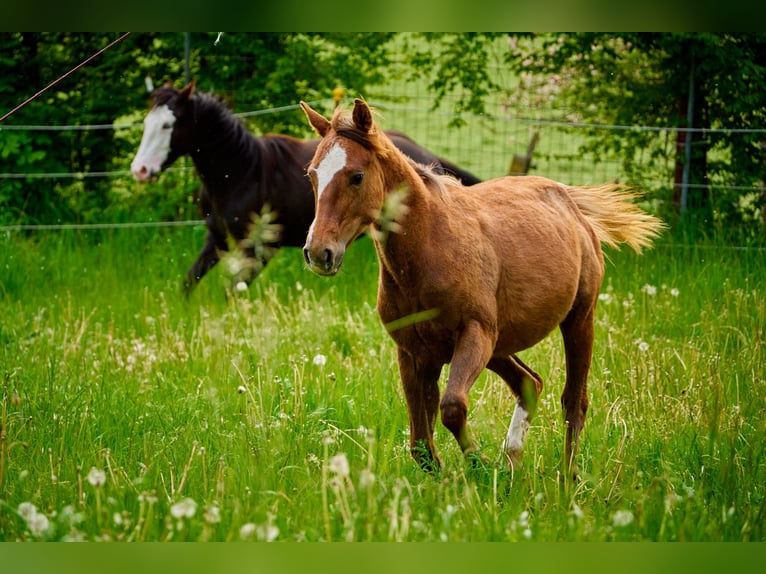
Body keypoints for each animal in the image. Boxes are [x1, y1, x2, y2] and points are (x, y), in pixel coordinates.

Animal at [131, 81, 480, 296]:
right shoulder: (216, 240)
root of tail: (428, 156)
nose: (140, 170)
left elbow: (233, 294)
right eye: (146, 122)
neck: (240, 171)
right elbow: (188, 284)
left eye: (167, 125)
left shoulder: (259, 248)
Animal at [300, 99, 664, 476]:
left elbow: (451, 408)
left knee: (574, 401)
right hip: (501, 342)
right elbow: (421, 445)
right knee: (530, 383)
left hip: (577, 320)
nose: (319, 252)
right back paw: (514, 458)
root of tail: (569, 199)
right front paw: (468, 471)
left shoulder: (475, 333)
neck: (430, 247)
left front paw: (482, 466)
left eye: (356, 176)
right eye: (311, 175)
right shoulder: (415, 352)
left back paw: (566, 475)